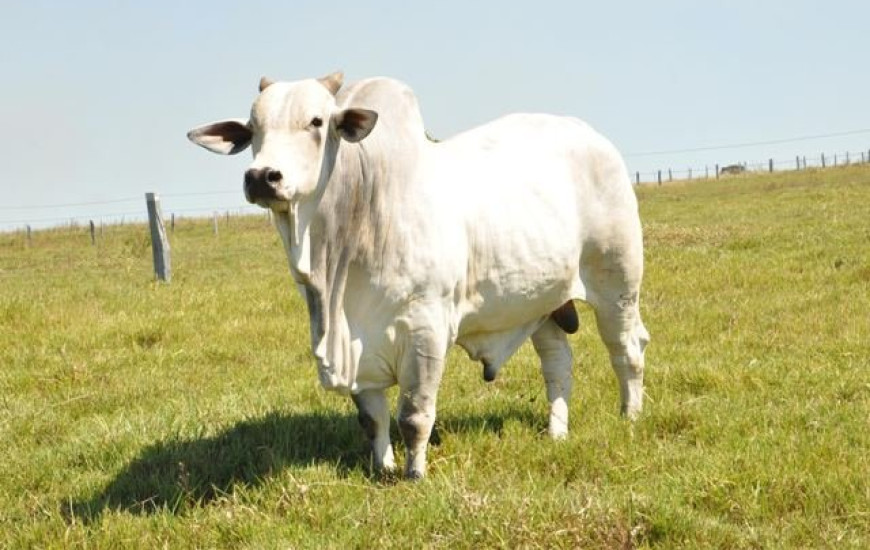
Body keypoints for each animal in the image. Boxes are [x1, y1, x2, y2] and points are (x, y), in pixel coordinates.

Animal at [187, 73, 652, 478]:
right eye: (253, 129)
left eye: (316, 122)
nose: (262, 177)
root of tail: (592, 137)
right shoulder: (357, 340)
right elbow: (372, 419)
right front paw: (382, 468)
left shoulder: (426, 330)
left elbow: (413, 415)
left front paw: (414, 473)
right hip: (541, 302)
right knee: (558, 363)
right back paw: (557, 431)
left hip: (617, 284)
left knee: (626, 350)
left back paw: (630, 417)